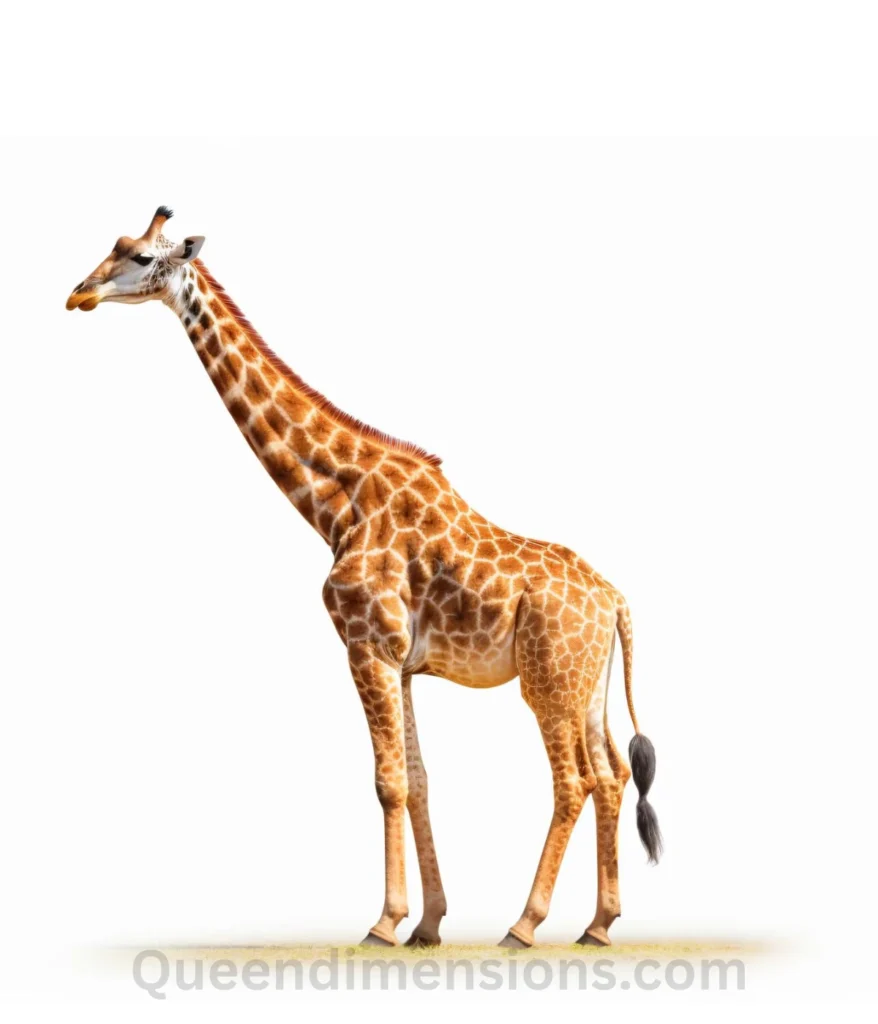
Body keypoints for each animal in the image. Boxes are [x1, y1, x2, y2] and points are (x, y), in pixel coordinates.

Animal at [67, 207, 662, 949]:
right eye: (115, 246)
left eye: (143, 256)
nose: (79, 294)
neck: (337, 501)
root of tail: (616, 600)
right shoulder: (401, 661)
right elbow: (420, 778)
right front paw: (428, 925)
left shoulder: (365, 645)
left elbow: (388, 782)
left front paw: (384, 922)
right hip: (586, 685)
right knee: (611, 775)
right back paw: (598, 925)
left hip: (547, 681)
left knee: (573, 780)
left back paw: (524, 926)